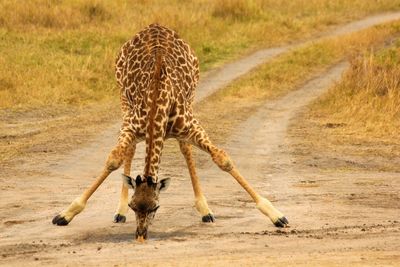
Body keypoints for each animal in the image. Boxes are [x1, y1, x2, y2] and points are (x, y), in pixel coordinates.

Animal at [52, 24, 288, 242]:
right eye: (134, 205)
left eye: (156, 207)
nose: (140, 235)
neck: (157, 100)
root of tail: (155, 25)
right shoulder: (131, 126)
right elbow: (113, 160)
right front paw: (66, 214)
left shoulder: (190, 125)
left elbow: (222, 159)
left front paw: (276, 215)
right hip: (123, 99)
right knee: (131, 149)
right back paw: (119, 211)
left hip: (191, 99)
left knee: (185, 148)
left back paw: (205, 209)